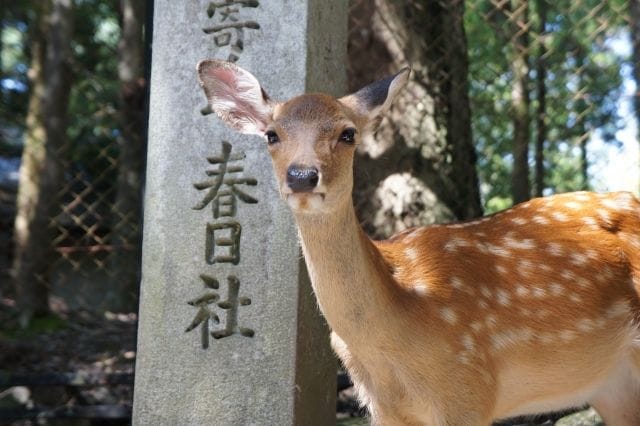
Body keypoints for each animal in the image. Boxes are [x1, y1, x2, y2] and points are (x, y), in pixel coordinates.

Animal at [196, 60, 640, 426]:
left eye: (347, 133)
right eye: (272, 134)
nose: (303, 176)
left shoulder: (469, 389)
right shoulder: (383, 408)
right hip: (612, 386)